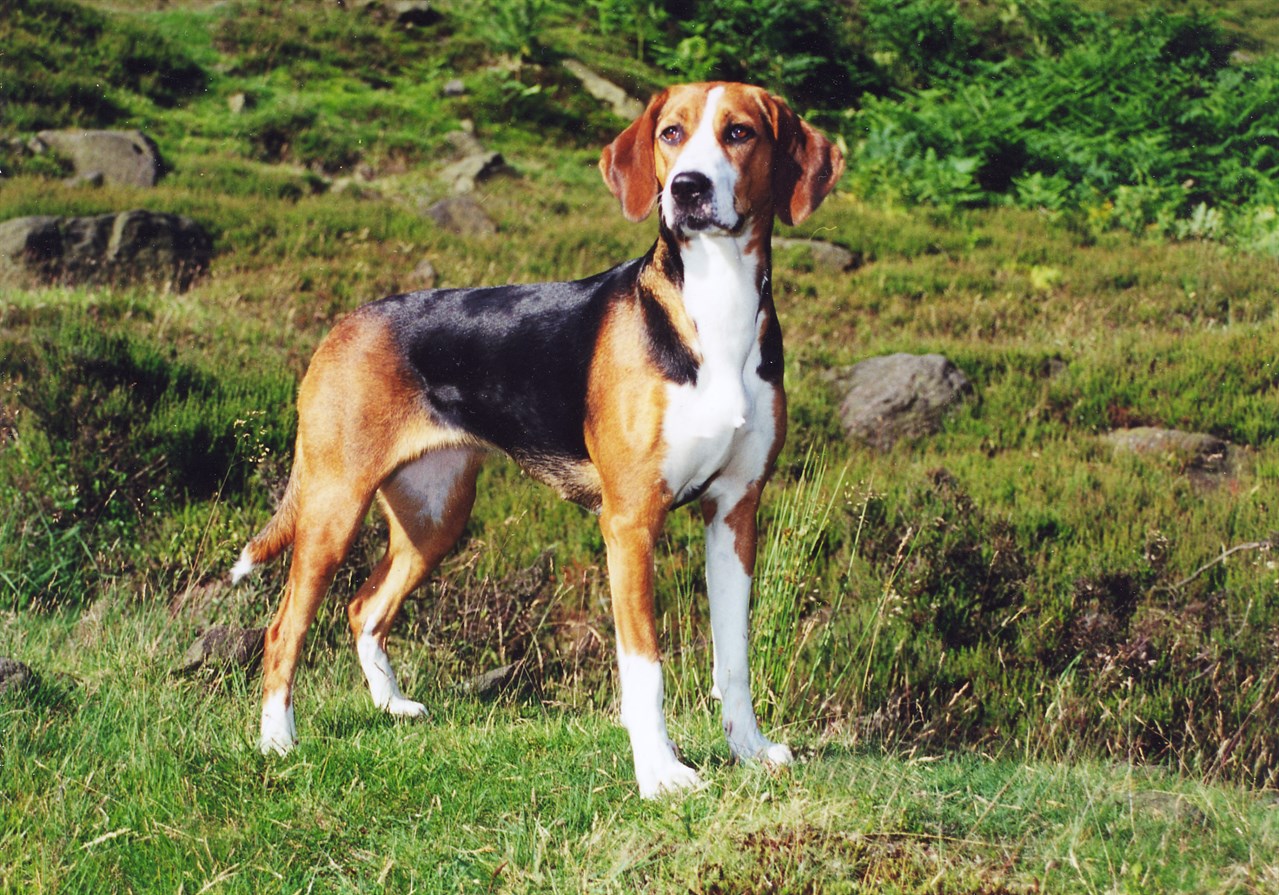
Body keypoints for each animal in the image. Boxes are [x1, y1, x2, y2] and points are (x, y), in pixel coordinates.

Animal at [230, 82, 844, 797]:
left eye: (740, 132)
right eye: (670, 133)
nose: (686, 188)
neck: (713, 310)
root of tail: (344, 324)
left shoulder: (735, 513)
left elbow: (734, 658)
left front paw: (747, 749)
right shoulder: (630, 521)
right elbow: (645, 666)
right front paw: (660, 774)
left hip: (435, 516)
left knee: (363, 606)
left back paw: (390, 705)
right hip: (333, 508)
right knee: (284, 628)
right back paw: (276, 740)